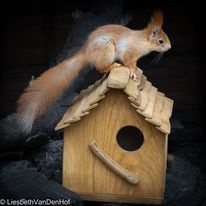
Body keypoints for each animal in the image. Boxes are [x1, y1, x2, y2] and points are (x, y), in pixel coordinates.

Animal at [16, 10, 171, 133]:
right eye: (161, 41)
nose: (170, 47)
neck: (142, 41)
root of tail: (87, 52)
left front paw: (137, 69)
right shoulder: (130, 52)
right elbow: (129, 62)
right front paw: (133, 72)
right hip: (107, 49)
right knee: (100, 67)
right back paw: (112, 66)